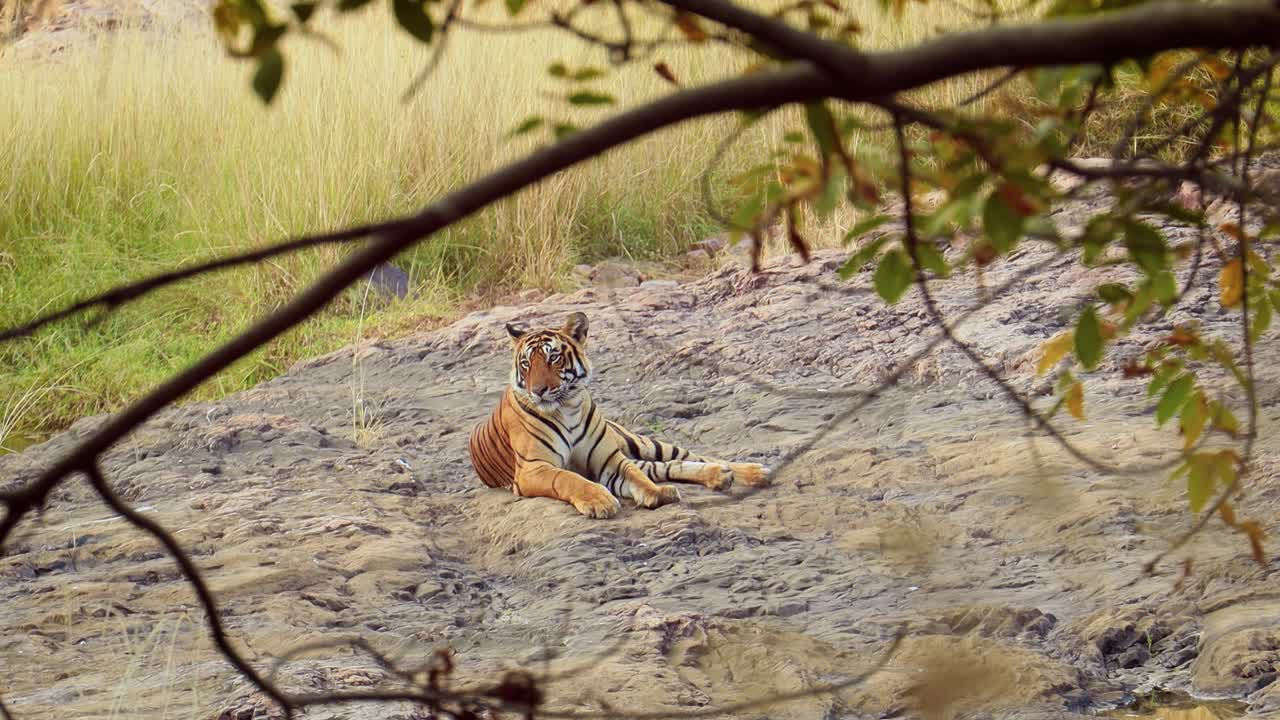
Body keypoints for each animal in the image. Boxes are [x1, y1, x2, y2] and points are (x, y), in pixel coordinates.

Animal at [468, 312, 771, 518]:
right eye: (526, 363)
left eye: (553, 357)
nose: (539, 391)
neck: (567, 407)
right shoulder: (533, 468)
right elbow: (568, 478)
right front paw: (600, 501)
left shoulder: (609, 459)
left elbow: (636, 476)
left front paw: (657, 493)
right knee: (665, 467)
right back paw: (723, 476)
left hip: (639, 442)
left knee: (684, 457)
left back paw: (751, 471)